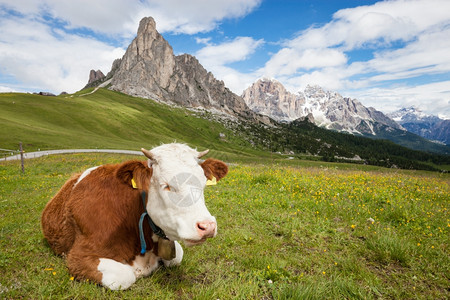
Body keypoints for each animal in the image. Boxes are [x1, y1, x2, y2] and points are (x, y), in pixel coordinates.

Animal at [41, 144, 229, 290]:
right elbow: (125, 276)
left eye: (203, 184)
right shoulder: (78, 257)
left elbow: (176, 257)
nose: (207, 226)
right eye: (166, 186)